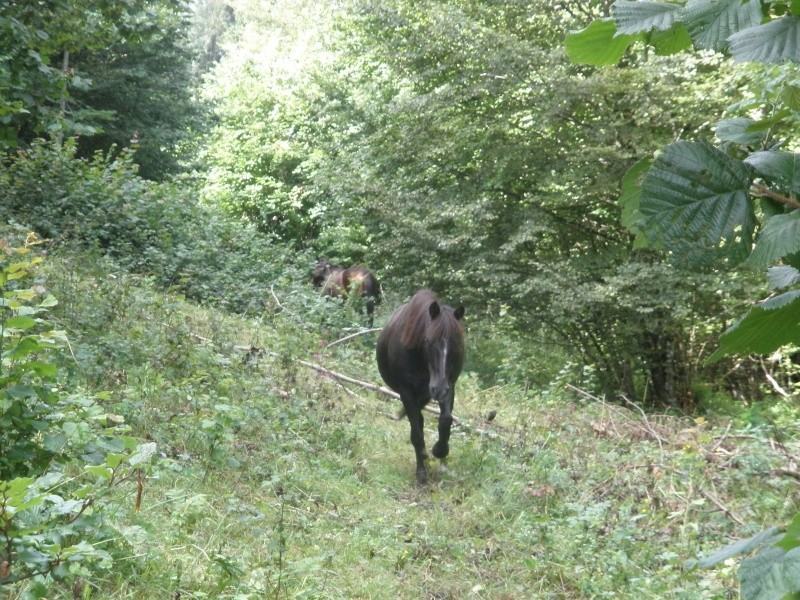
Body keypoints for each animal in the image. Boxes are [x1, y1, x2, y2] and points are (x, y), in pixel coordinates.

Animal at [378, 288, 466, 486]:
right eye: (427, 339)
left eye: (456, 343)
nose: (438, 388)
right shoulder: (406, 392)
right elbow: (417, 434)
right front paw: (421, 473)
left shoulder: (449, 387)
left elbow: (446, 420)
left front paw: (440, 450)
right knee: (417, 423)